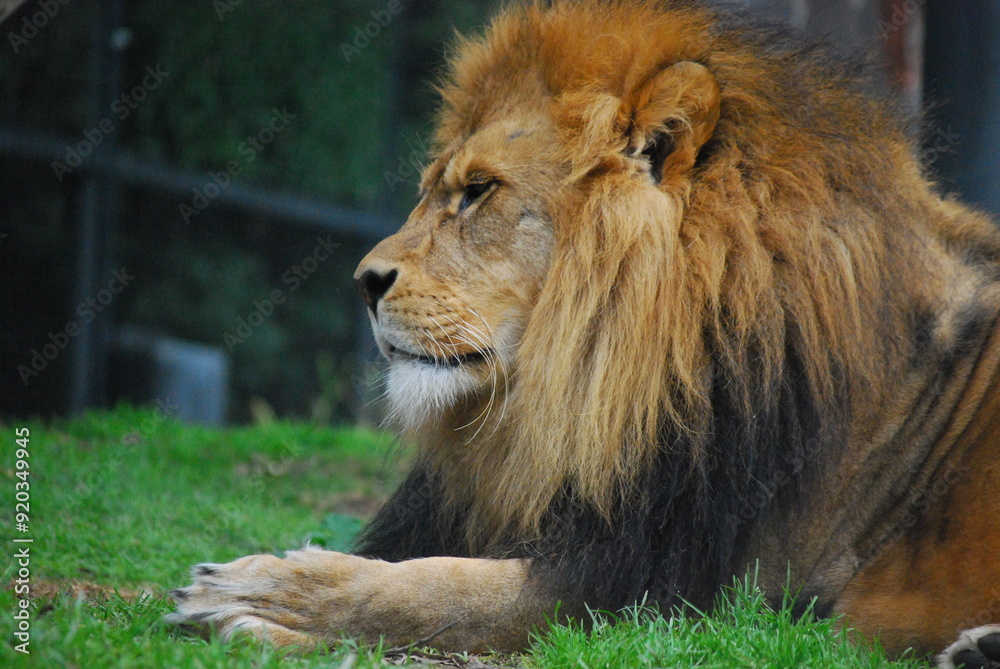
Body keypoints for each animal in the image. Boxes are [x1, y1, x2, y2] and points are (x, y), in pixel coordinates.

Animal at [168, 1, 1000, 666]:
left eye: (478, 191)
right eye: (434, 188)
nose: (365, 282)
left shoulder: (682, 593)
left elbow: (442, 592)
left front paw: (261, 592)